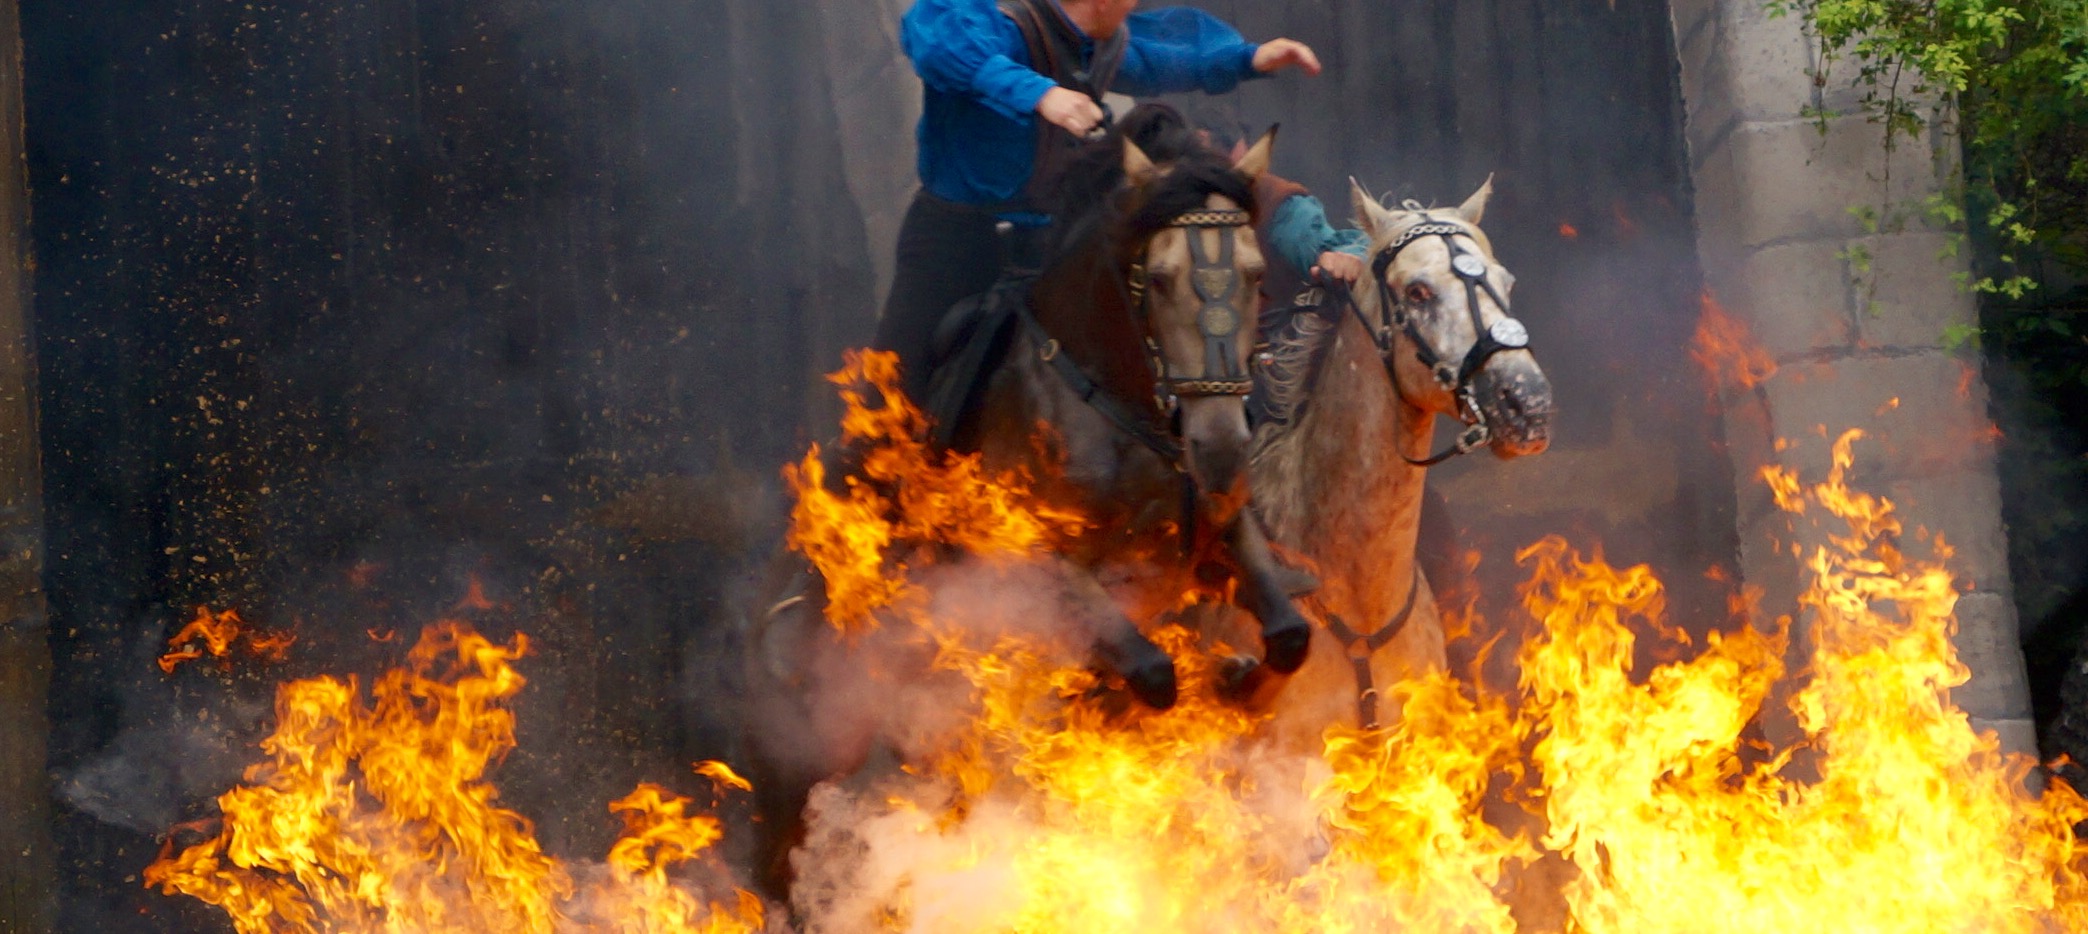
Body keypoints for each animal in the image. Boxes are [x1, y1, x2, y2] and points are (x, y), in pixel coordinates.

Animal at [743, 106, 1311, 902]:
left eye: (1257, 276)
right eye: (1161, 278)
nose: (1222, 445)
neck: (1112, 407)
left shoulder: (1220, 536)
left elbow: (1288, 635)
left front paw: (1233, 679)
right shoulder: (1027, 564)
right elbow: (1147, 669)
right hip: (798, 776)